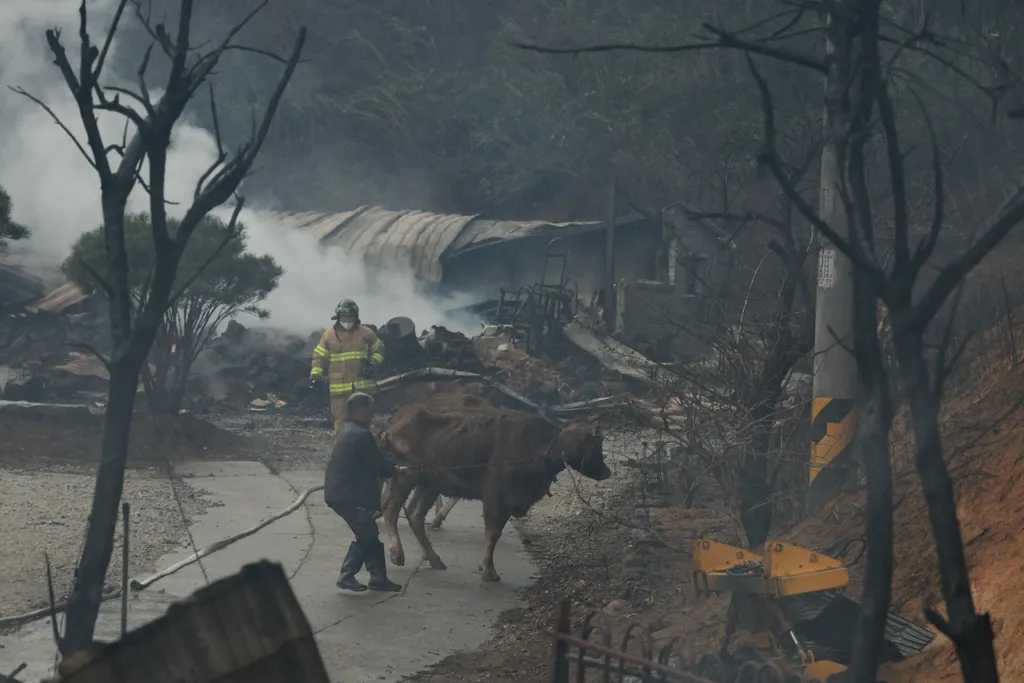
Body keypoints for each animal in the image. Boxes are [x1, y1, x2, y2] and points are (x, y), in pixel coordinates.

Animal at [382, 405, 606, 581]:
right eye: (594, 442)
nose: (607, 471)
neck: (540, 445)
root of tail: (393, 421)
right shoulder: (496, 497)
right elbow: (493, 532)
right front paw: (489, 571)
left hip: (428, 484)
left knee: (414, 514)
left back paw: (435, 559)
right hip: (404, 477)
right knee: (391, 509)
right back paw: (397, 555)